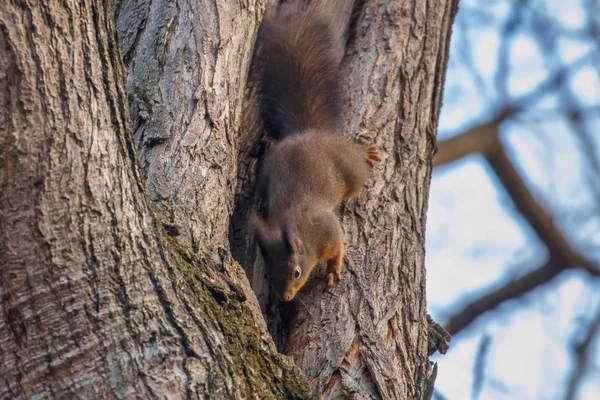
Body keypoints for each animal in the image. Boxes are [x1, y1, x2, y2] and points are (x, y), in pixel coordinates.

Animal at [251, 1, 382, 302]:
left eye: (297, 272)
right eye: (269, 275)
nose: (285, 297)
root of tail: (307, 132)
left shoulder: (327, 230)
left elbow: (339, 247)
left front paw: (333, 270)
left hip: (350, 174)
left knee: (356, 165)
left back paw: (364, 153)